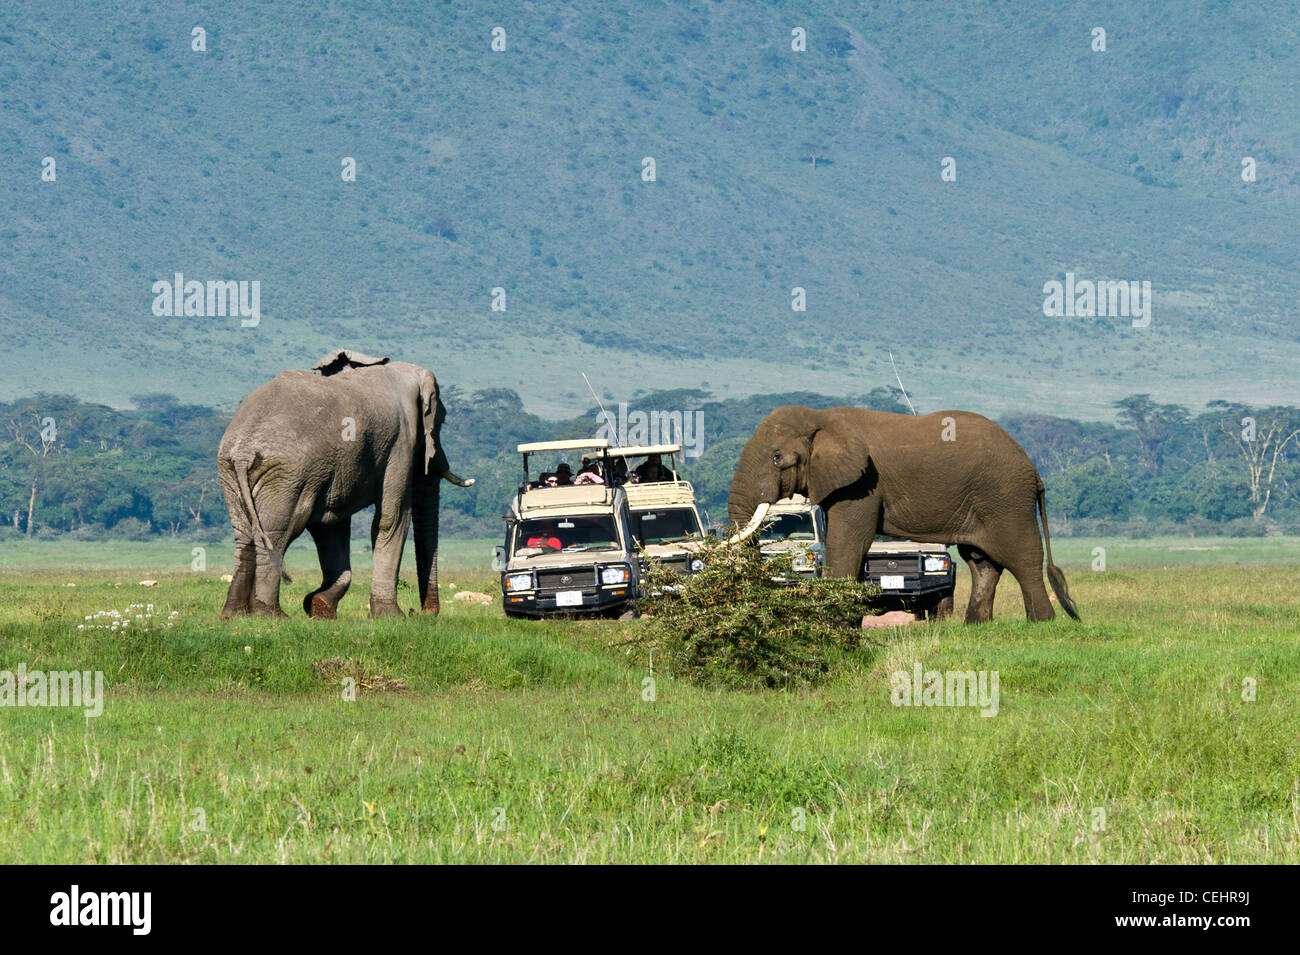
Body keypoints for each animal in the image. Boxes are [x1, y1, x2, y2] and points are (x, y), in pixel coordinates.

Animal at [215, 350, 475, 621]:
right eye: (440, 422)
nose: (421, 612)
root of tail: (243, 451)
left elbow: (330, 525)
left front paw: (319, 607)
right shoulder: (400, 442)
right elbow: (392, 519)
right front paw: (391, 617)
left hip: (232, 471)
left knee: (244, 534)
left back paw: (233, 615)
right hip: (286, 476)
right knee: (278, 532)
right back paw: (271, 616)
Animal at [728, 405, 1081, 623]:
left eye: (777, 458)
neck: (822, 418)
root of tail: (1033, 469)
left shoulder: (863, 484)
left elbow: (848, 542)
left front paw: (835, 622)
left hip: (1006, 497)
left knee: (1021, 555)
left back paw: (1042, 622)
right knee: (982, 562)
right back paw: (976, 626)